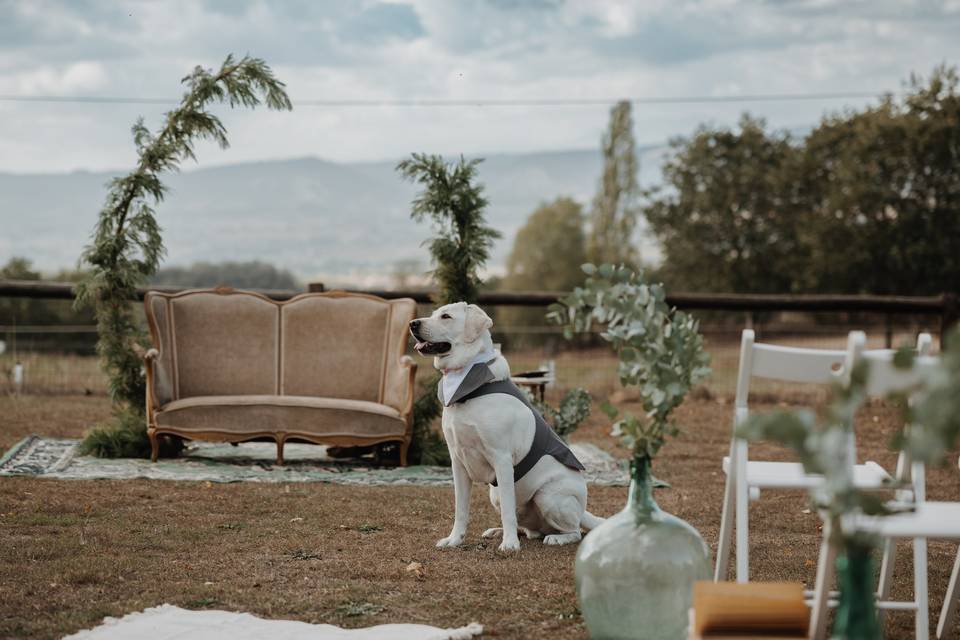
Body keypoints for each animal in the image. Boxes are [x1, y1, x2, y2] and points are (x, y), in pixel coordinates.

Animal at [408, 302, 604, 552]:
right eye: (433, 314)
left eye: (446, 316)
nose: (413, 324)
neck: (468, 383)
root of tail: (582, 510)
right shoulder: (457, 461)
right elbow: (461, 509)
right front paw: (454, 540)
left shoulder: (501, 459)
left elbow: (509, 511)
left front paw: (509, 544)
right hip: (496, 495)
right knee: (530, 530)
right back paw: (499, 531)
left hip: (547, 495)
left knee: (575, 531)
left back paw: (555, 538)